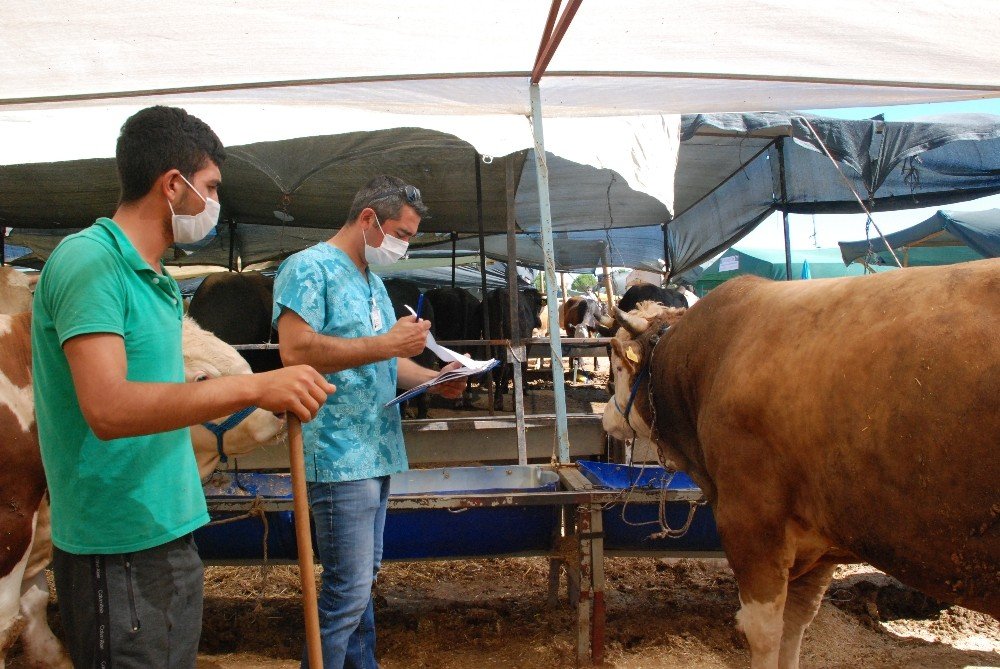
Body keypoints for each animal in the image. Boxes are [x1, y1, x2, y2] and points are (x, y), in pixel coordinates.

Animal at [0, 310, 282, 668]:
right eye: (202, 378)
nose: (278, 408)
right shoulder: (11, 521)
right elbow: (6, 627)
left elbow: (34, 602)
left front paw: (53, 657)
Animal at [600, 260, 1000, 668]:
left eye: (617, 364)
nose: (606, 419)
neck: (709, 359)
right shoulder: (818, 544)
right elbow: (795, 626)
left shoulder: (752, 525)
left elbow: (764, 632)